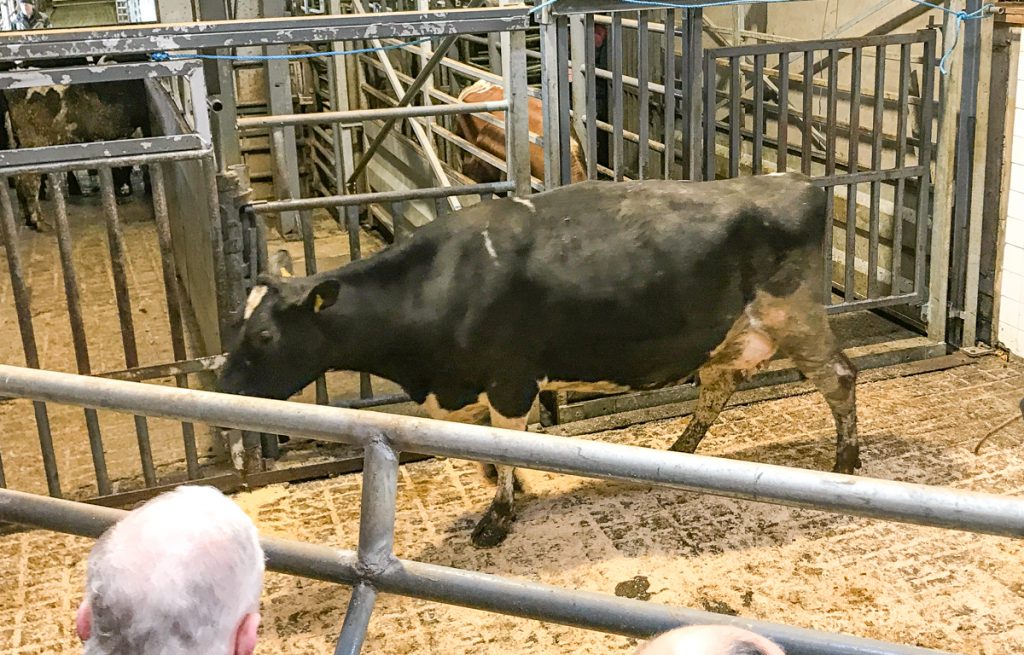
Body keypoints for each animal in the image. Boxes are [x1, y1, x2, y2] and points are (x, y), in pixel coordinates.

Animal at [218, 172, 859, 548]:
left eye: (265, 336)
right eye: (236, 325)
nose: (222, 395)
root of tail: (795, 180)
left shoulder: (510, 379)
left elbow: (505, 444)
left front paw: (497, 517)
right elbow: (485, 449)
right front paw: (506, 485)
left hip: (796, 318)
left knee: (841, 379)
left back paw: (846, 462)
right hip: (730, 336)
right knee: (717, 387)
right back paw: (678, 453)